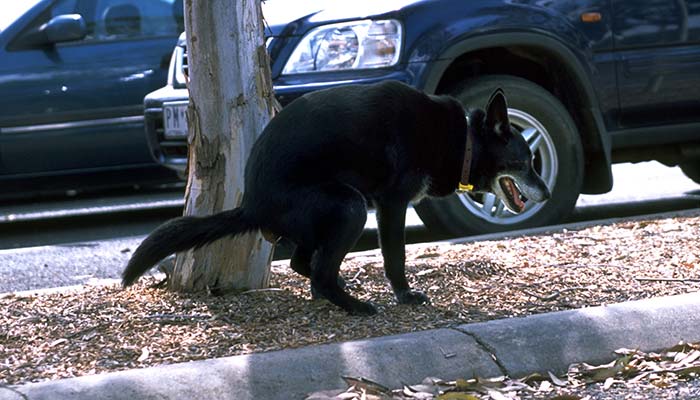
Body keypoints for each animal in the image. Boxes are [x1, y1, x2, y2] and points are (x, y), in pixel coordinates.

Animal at [123, 79, 548, 314]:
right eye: (525, 162)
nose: (545, 194)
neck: (463, 140)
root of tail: (253, 204)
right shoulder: (392, 205)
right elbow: (395, 257)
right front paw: (404, 296)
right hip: (349, 206)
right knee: (320, 272)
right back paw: (353, 305)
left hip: (330, 217)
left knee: (305, 263)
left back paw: (336, 291)